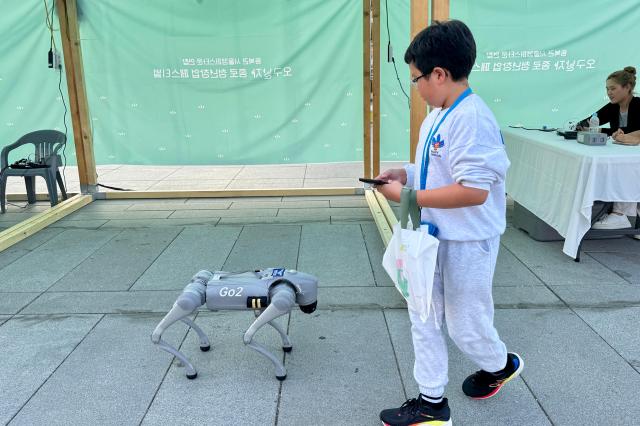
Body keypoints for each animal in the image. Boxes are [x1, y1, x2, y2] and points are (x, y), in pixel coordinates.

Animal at [153, 268, 318, 382]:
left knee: (182, 312)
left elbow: (260, 318)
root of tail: (199, 281)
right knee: (158, 333)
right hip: (191, 299)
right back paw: (190, 369)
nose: (311, 307)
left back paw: (204, 343)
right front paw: (281, 372)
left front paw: (286, 344)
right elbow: (248, 337)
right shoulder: (280, 299)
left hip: (192, 297)